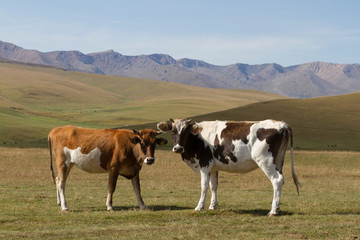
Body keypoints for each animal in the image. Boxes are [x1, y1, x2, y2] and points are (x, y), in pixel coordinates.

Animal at [158, 118, 300, 216]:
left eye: (186, 132)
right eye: (172, 131)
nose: (178, 148)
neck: (198, 138)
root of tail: (281, 124)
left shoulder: (205, 164)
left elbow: (204, 186)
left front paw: (199, 206)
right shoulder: (213, 168)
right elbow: (213, 186)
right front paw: (213, 206)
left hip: (266, 161)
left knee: (277, 180)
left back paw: (273, 211)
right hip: (278, 160)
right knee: (280, 180)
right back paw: (277, 208)